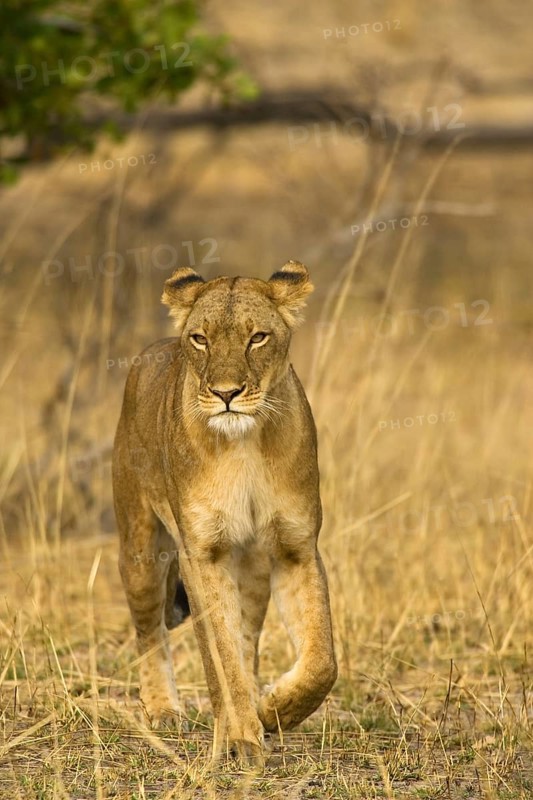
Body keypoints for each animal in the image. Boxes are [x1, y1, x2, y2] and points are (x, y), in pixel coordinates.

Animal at [112, 261, 337, 766]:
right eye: (200, 339)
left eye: (258, 337)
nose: (226, 393)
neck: (245, 444)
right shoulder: (201, 554)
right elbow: (221, 656)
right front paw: (238, 738)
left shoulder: (296, 548)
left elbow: (321, 661)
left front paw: (273, 710)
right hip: (139, 549)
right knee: (150, 631)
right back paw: (164, 710)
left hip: (252, 569)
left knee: (248, 637)